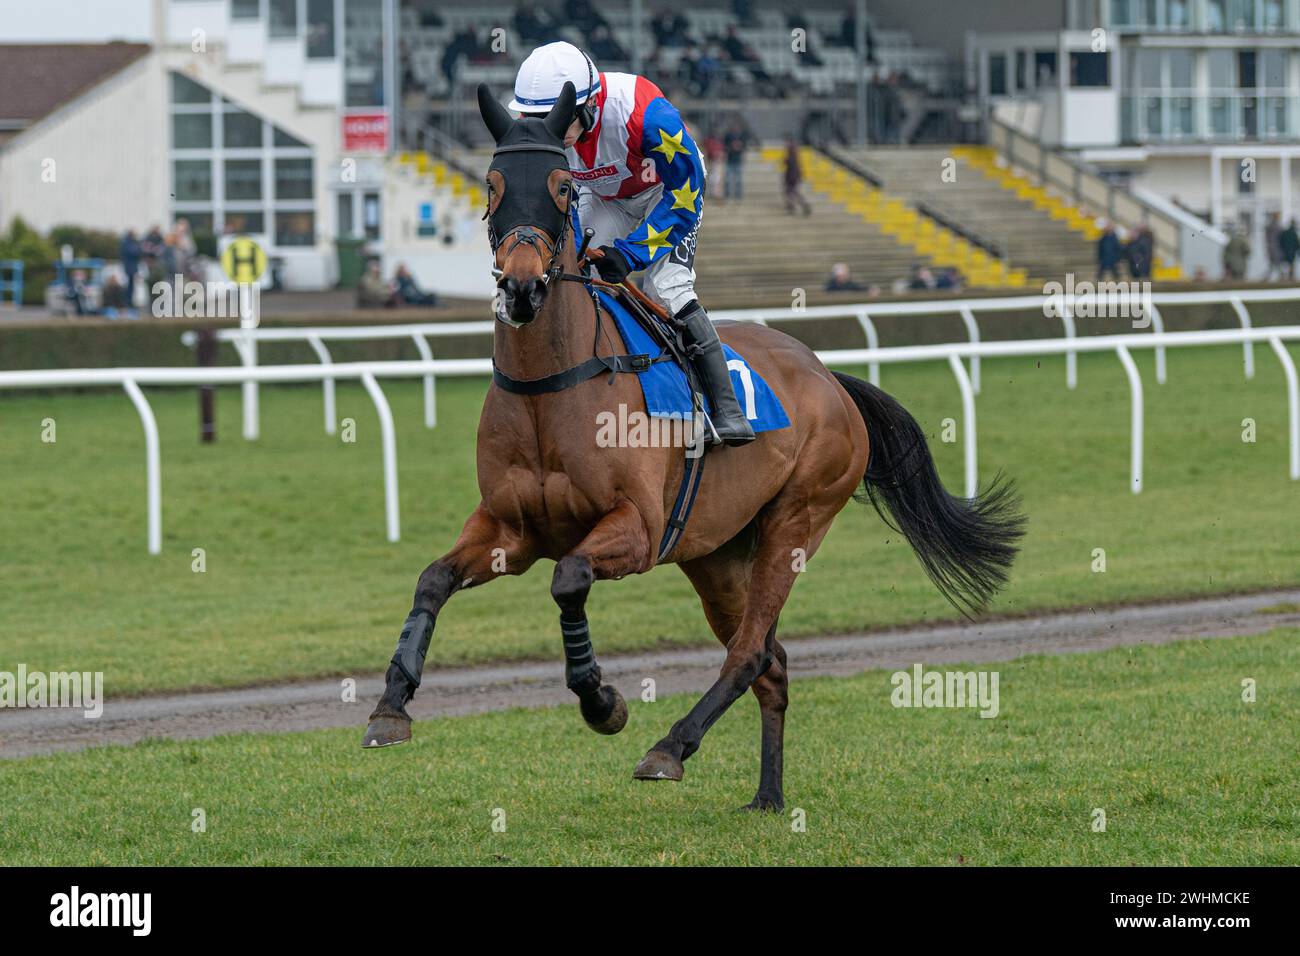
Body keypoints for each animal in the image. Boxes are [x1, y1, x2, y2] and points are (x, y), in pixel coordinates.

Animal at [364, 85, 1024, 811]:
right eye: (491, 183)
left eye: (563, 187)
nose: (522, 286)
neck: (552, 385)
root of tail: (830, 378)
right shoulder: (512, 528)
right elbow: (433, 579)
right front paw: (391, 705)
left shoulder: (637, 530)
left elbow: (569, 579)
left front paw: (602, 702)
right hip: (716, 554)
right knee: (771, 661)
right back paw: (767, 796)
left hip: (797, 519)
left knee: (751, 652)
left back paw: (669, 747)